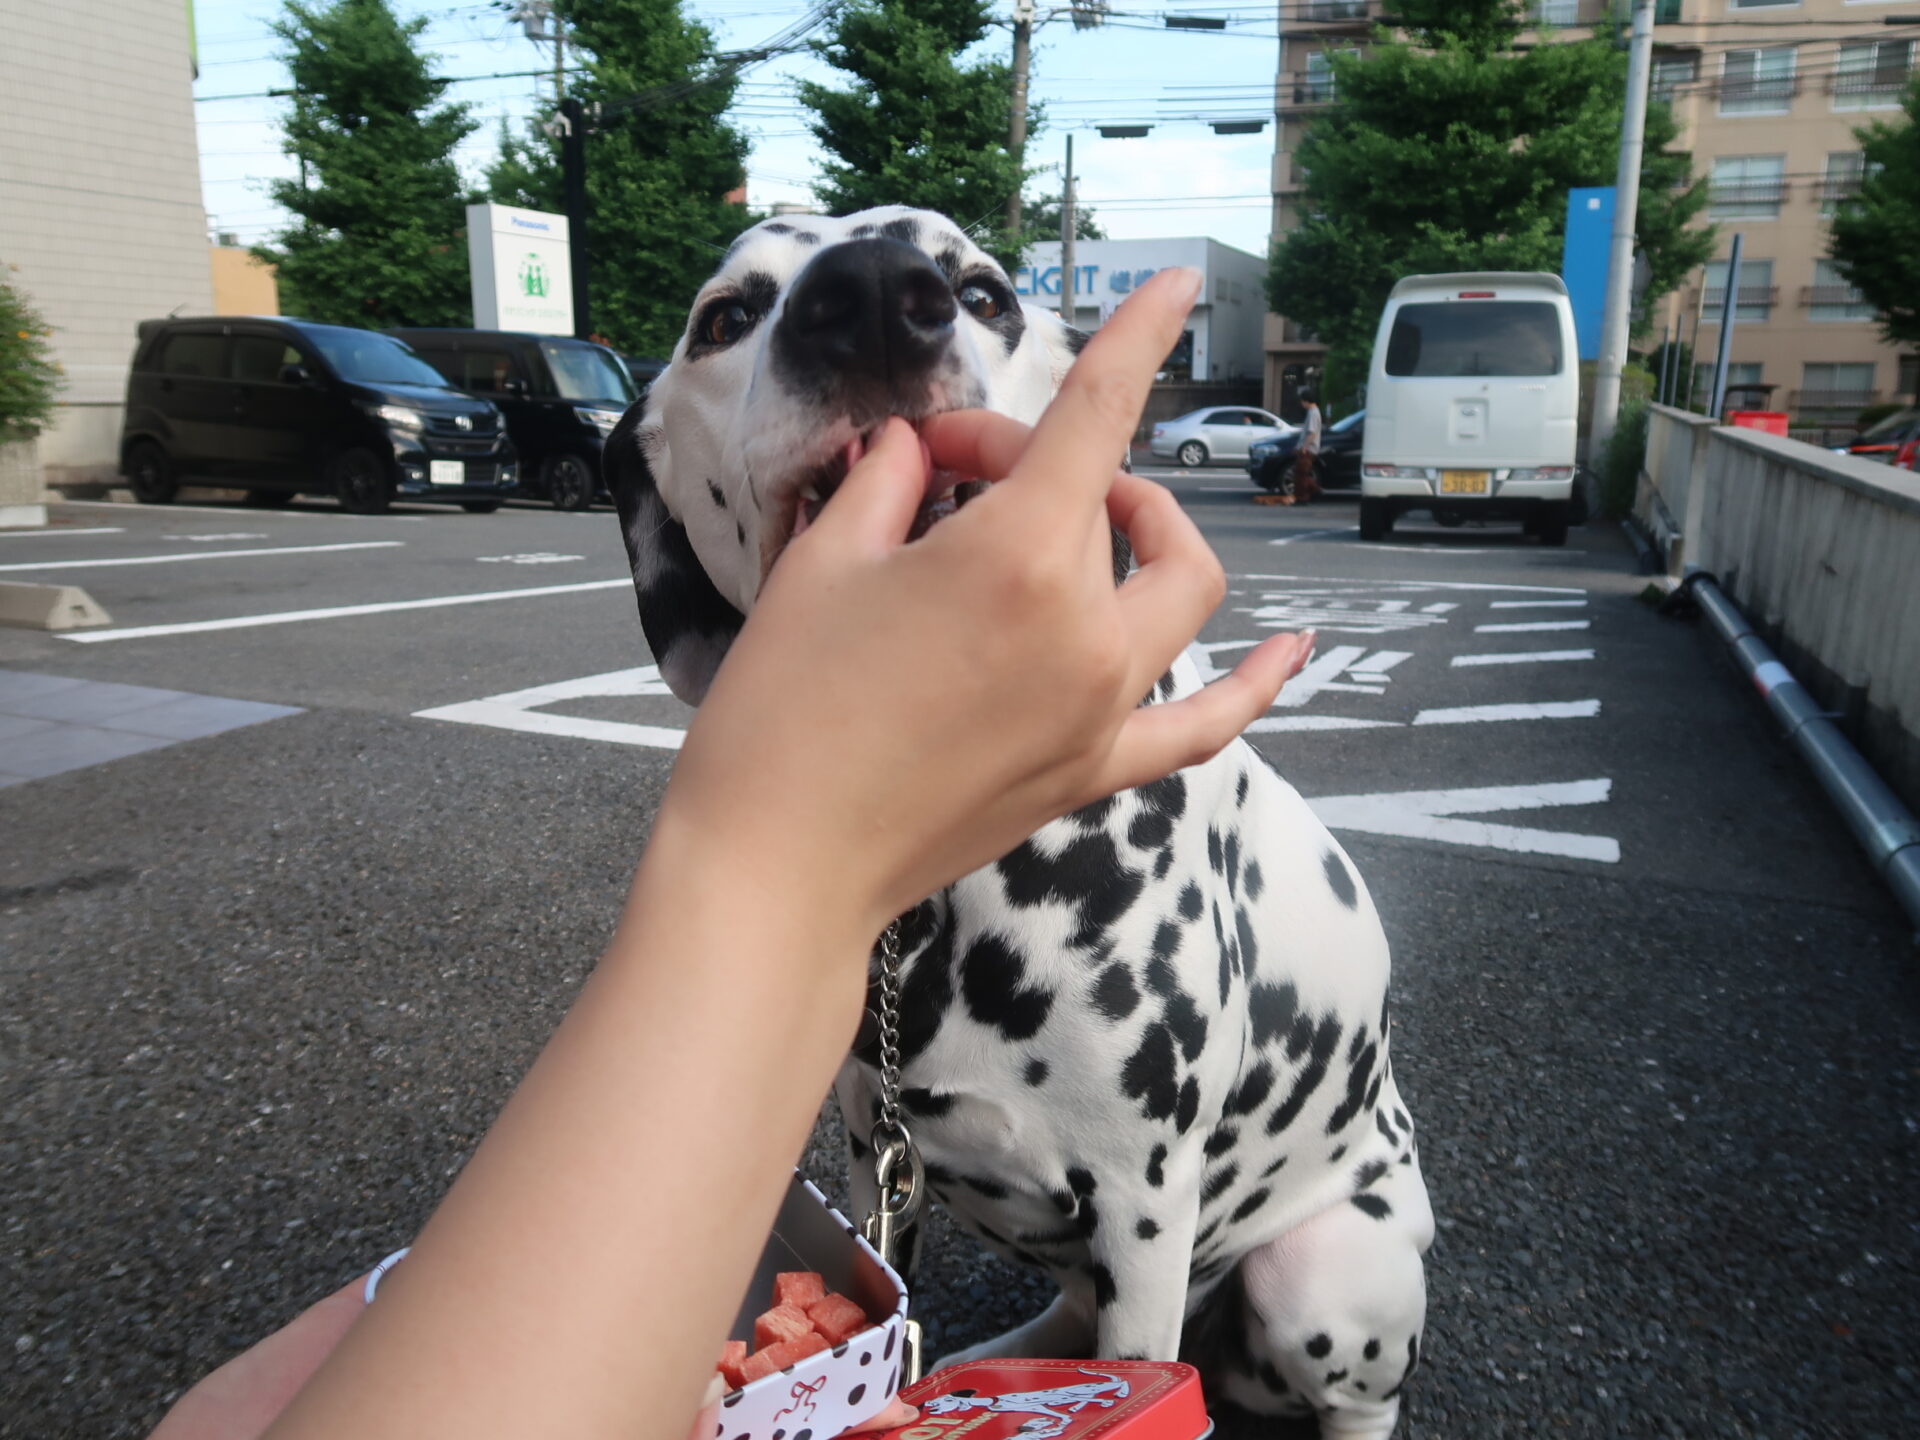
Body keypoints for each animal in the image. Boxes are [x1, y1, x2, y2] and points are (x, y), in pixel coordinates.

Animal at [604, 206, 1434, 1440]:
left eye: (985, 292)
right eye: (726, 316)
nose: (872, 295)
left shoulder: (1146, 1205)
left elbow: (1138, 1350)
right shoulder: (876, 1157)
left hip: (1318, 1272)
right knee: (1072, 1320)